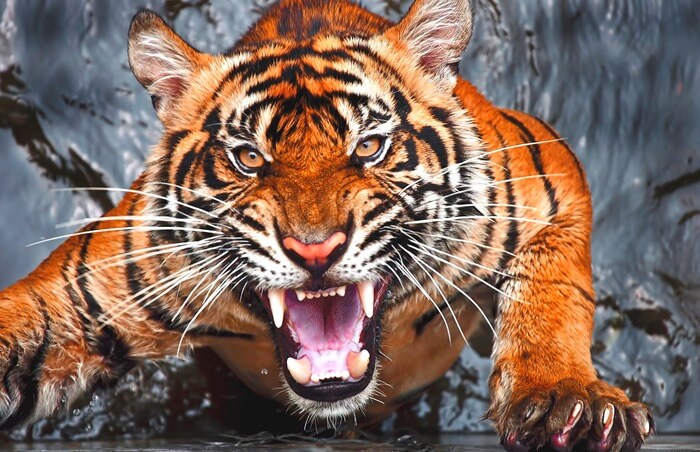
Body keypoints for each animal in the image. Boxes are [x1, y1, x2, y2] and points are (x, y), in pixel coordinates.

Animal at [0, 0, 654, 450]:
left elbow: (553, 292)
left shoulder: (549, 179)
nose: (315, 251)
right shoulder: (80, 296)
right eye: (249, 158)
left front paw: (566, 400)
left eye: (368, 147)